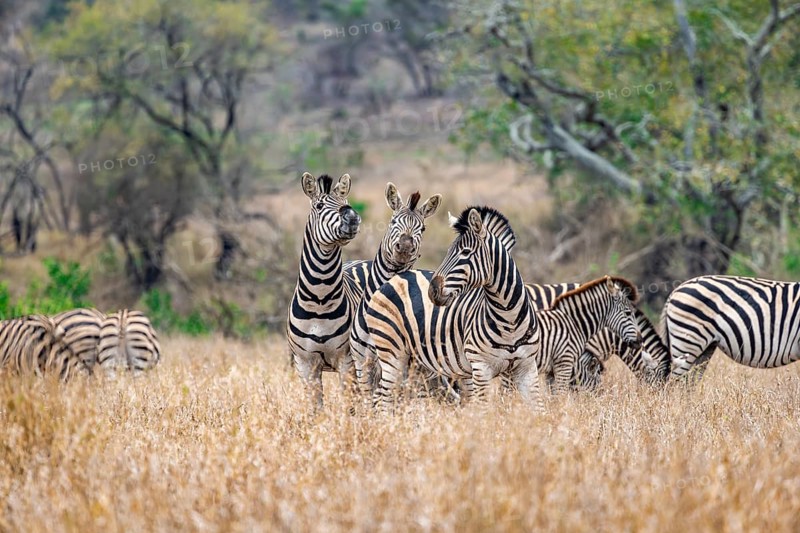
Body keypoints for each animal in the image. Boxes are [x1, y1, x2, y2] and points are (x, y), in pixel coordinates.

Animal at [287, 172, 362, 409]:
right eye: (319, 206)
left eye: (346, 202)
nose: (352, 217)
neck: (319, 299)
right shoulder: (305, 364)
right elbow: (315, 409)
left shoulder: (346, 360)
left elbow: (350, 407)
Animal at [366, 206, 544, 410]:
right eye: (448, 251)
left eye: (465, 252)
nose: (432, 291)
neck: (509, 319)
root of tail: (396, 278)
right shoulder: (481, 368)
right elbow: (484, 411)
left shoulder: (527, 367)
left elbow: (539, 409)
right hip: (391, 352)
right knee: (383, 398)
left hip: (414, 360)